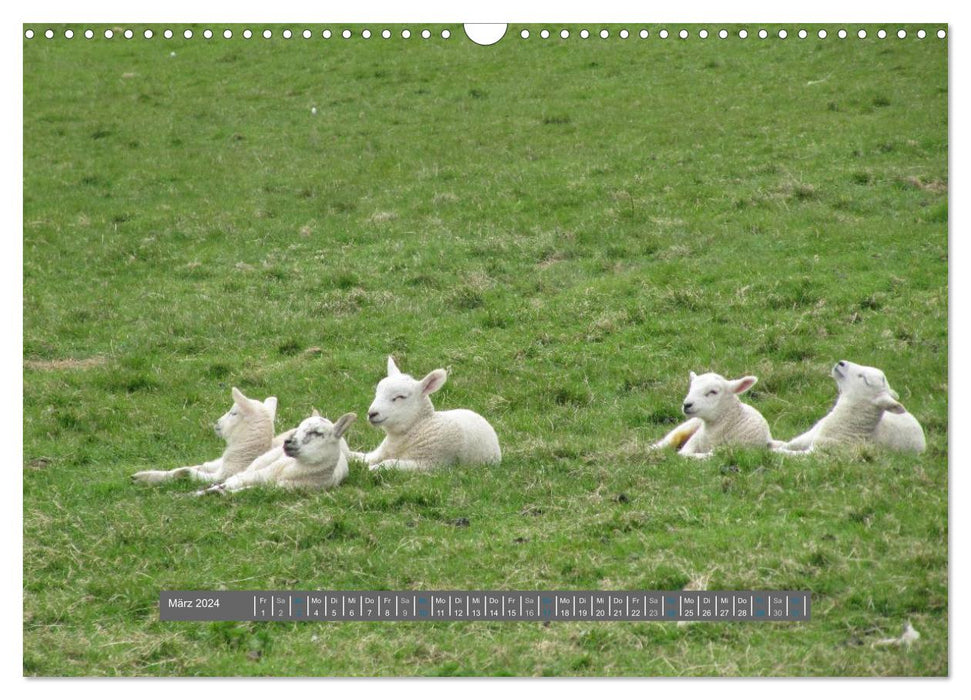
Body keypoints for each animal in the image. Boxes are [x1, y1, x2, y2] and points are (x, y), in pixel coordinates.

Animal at [131, 386, 276, 484]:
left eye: (233, 413)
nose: (217, 422)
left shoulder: (221, 476)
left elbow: (191, 473)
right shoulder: (215, 466)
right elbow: (192, 467)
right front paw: (143, 475)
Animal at [197, 410, 356, 492]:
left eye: (317, 433)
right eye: (299, 428)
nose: (288, 442)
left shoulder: (275, 487)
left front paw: (222, 492)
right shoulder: (262, 473)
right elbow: (234, 481)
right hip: (263, 461)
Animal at [348, 358, 502, 474]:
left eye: (400, 397)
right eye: (377, 392)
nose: (372, 413)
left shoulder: (429, 463)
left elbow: (390, 464)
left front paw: (372, 469)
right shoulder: (378, 453)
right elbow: (358, 456)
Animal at [776, 360, 928, 454]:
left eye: (865, 380)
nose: (841, 363)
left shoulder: (822, 454)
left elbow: (790, 455)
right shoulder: (809, 438)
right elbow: (787, 445)